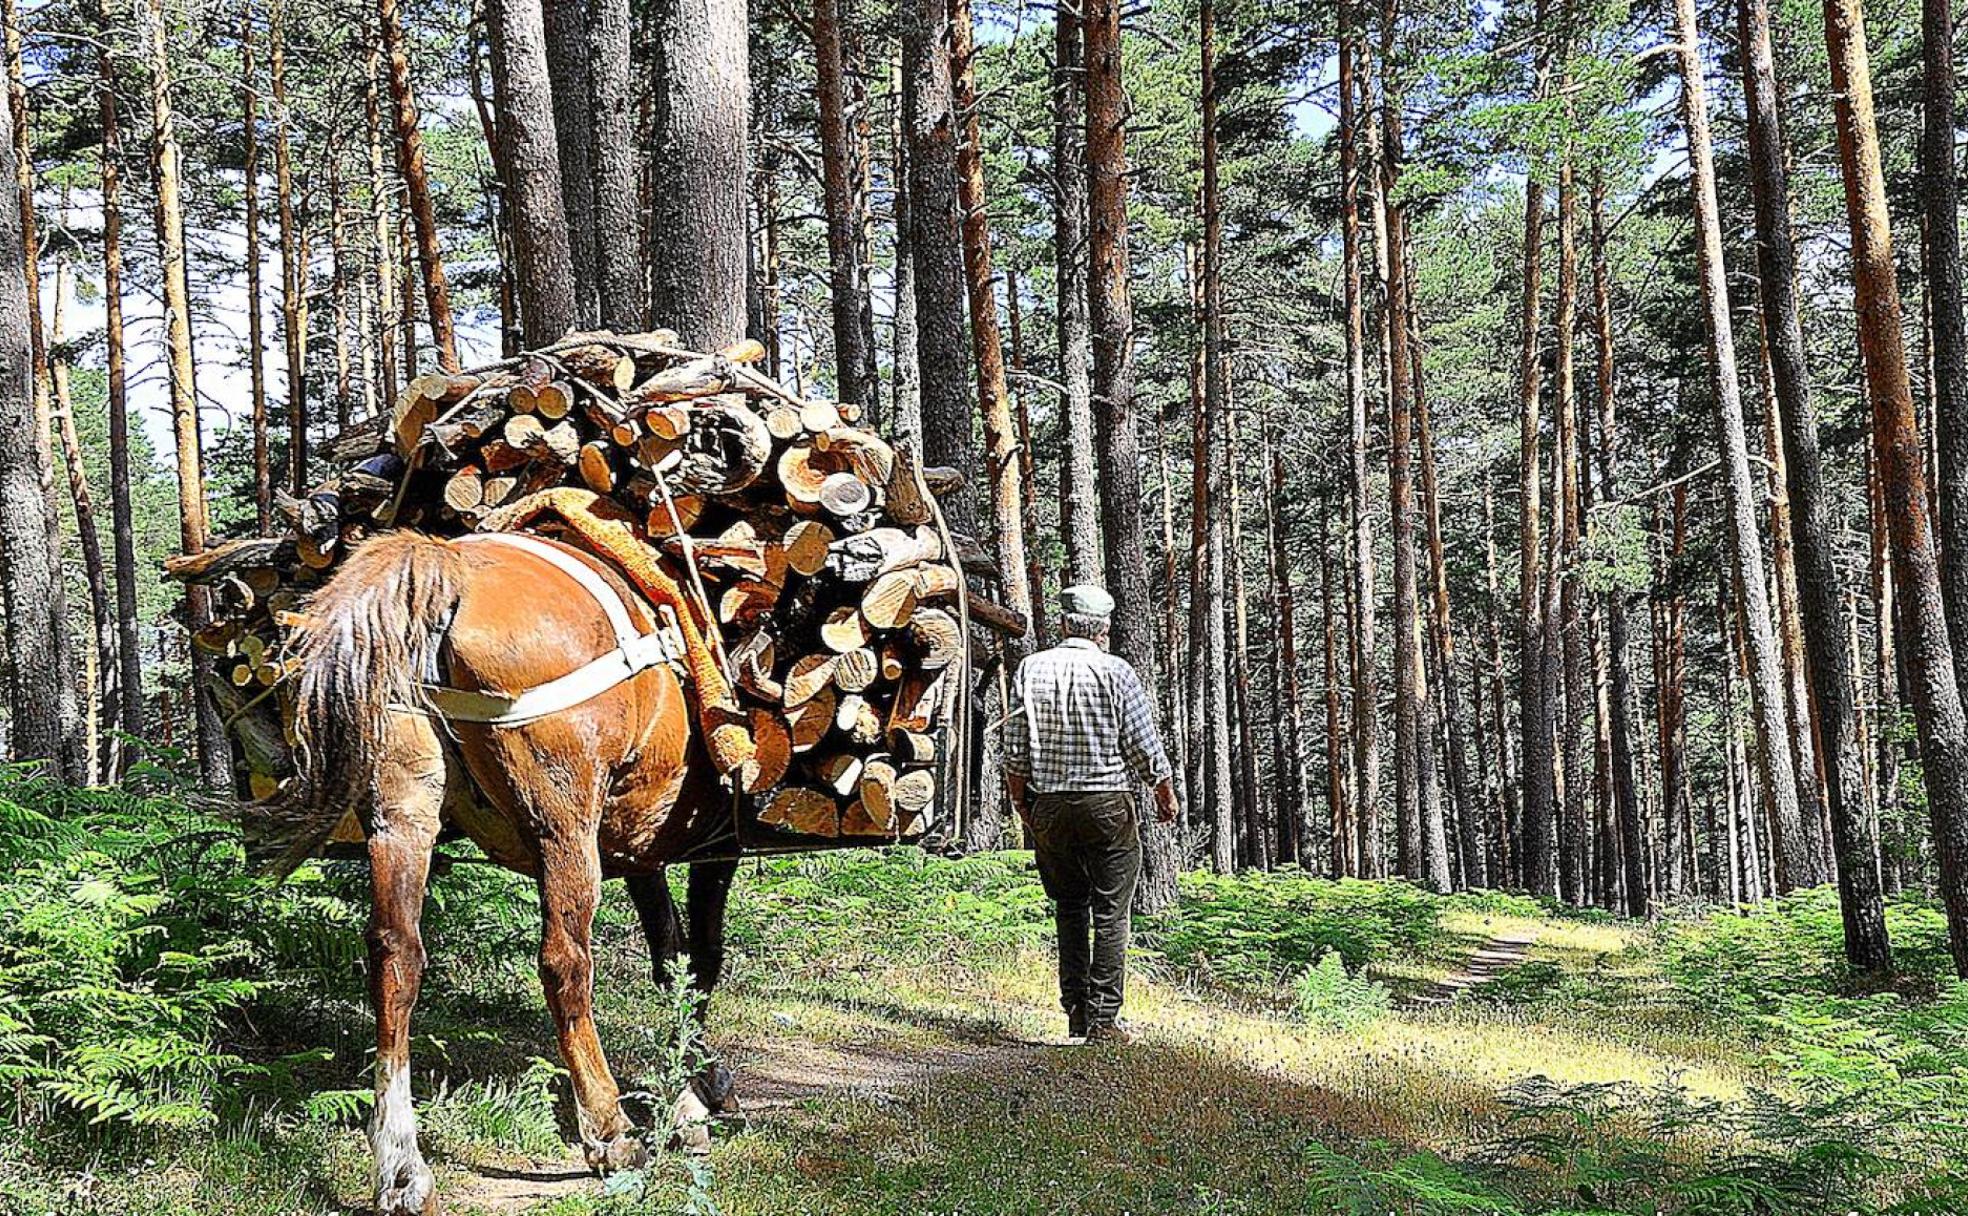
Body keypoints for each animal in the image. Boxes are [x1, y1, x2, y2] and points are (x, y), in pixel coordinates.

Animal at [269, 527, 743, 1204]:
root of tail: (448, 569)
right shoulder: (712, 844)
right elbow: (698, 962)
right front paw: (697, 1096)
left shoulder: (641, 850)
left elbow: (670, 959)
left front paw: (685, 1099)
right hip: (563, 825)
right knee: (564, 961)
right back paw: (609, 1130)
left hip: (402, 811)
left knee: (395, 954)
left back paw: (402, 1168)